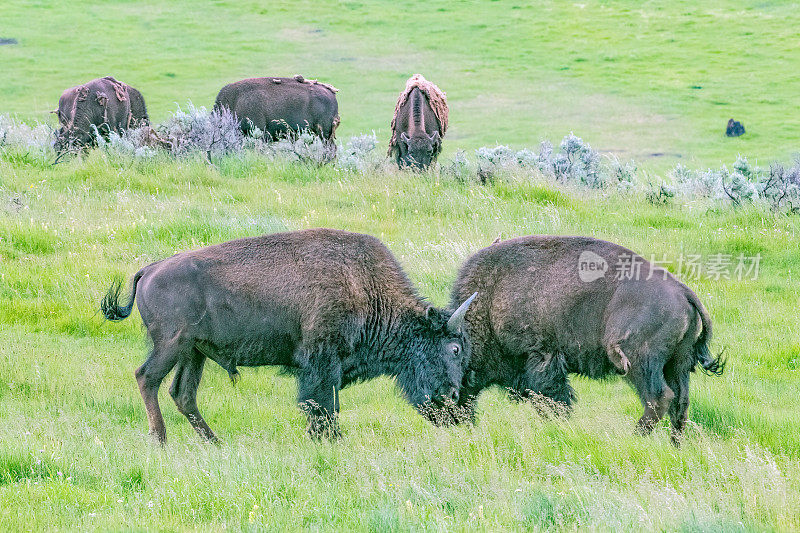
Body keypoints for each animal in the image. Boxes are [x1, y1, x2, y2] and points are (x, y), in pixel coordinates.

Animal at [100, 228, 476, 440]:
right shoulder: (322, 363)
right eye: (454, 349)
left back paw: (214, 442)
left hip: (194, 353)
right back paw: (160, 439)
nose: (455, 400)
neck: (366, 287)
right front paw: (330, 439)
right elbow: (322, 404)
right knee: (147, 378)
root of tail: (149, 269)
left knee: (183, 394)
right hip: (171, 345)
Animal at [450, 235, 724, 442]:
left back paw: (634, 438)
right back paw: (674, 446)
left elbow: (554, 400)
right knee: (680, 403)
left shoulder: (542, 358)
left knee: (659, 398)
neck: (489, 301)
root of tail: (683, 291)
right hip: (678, 364)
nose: (448, 418)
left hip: (638, 361)